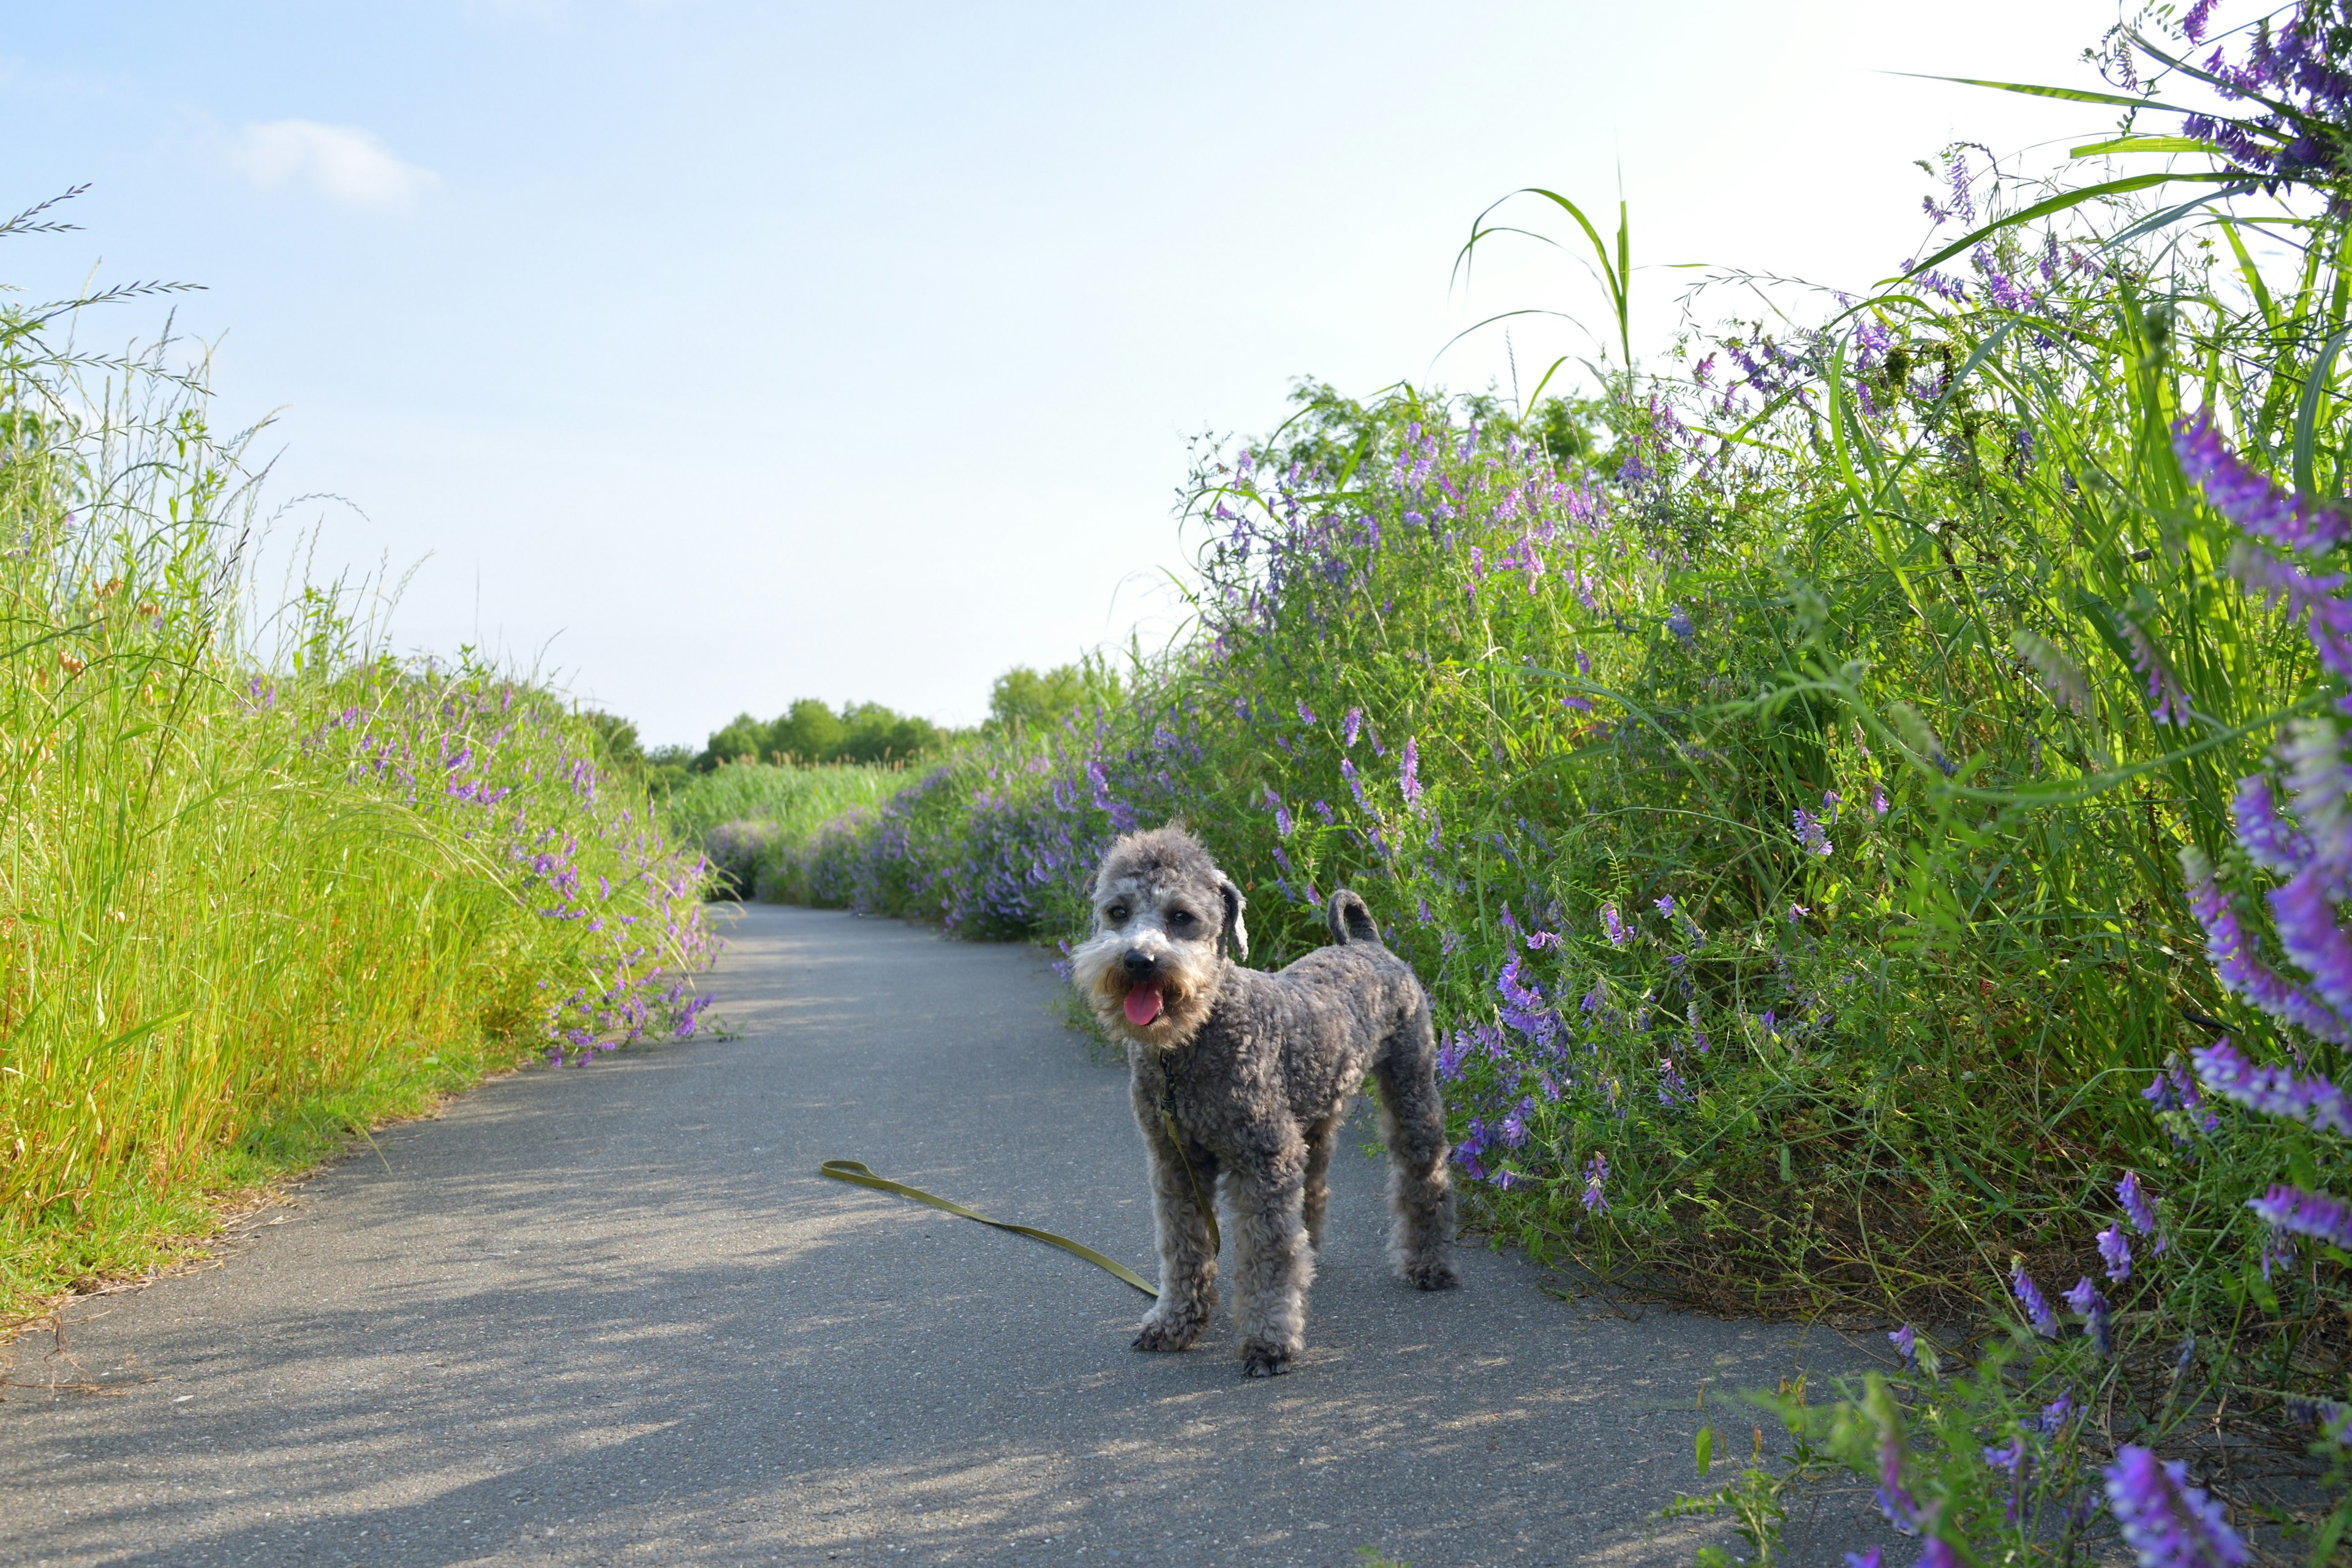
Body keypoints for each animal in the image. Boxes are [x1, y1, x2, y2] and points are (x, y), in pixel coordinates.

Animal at [1072, 823, 1449, 1373]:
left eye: (1181, 917)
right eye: (1117, 912)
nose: (1139, 961)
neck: (1190, 1045)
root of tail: (1368, 944)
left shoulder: (1263, 1162)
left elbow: (1266, 1257)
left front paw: (1270, 1340)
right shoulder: (1176, 1163)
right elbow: (1184, 1249)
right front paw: (1175, 1322)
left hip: (1411, 1089)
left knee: (1424, 1171)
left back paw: (1429, 1263)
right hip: (1317, 1117)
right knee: (1315, 1189)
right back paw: (1311, 1256)